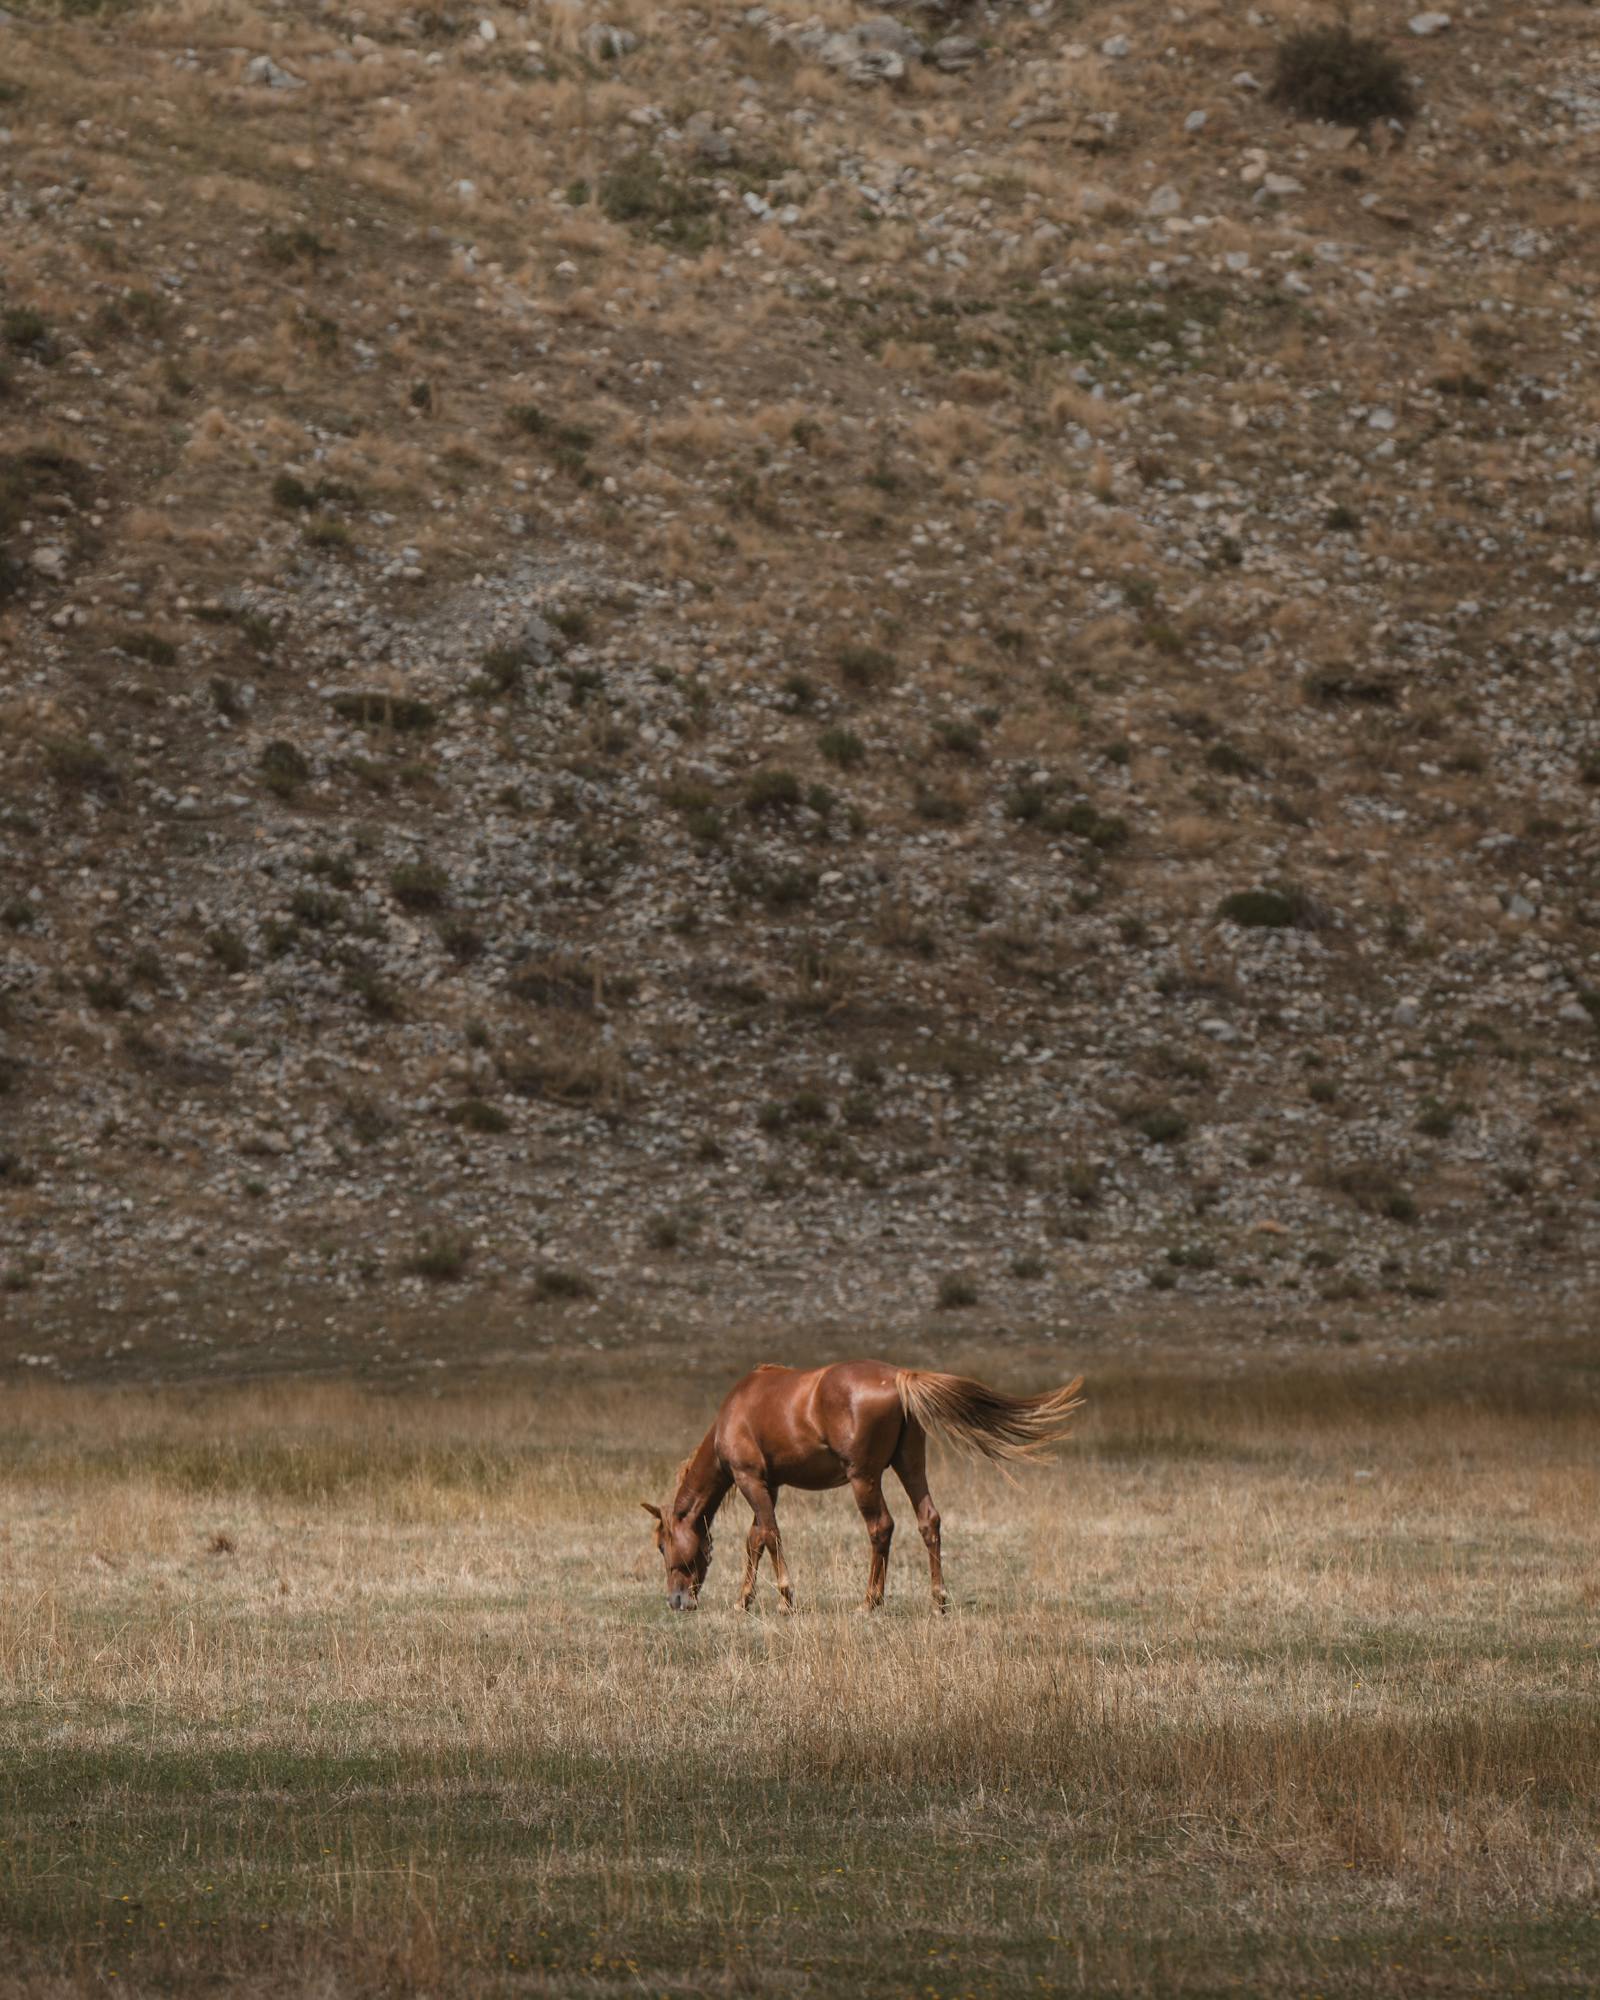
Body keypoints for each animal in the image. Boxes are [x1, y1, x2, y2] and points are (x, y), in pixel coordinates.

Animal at [644, 1352, 1080, 1616]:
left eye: (663, 1545)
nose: (676, 1600)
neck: (734, 1412)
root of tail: (899, 1377)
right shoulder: (771, 1485)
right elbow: (756, 1539)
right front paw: (743, 1600)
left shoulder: (751, 1479)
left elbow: (769, 1535)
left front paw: (785, 1598)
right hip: (910, 1466)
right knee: (929, 1520)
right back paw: (936, 1600)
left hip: (864, 1479)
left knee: (881, 1527)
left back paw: (870, 1601)